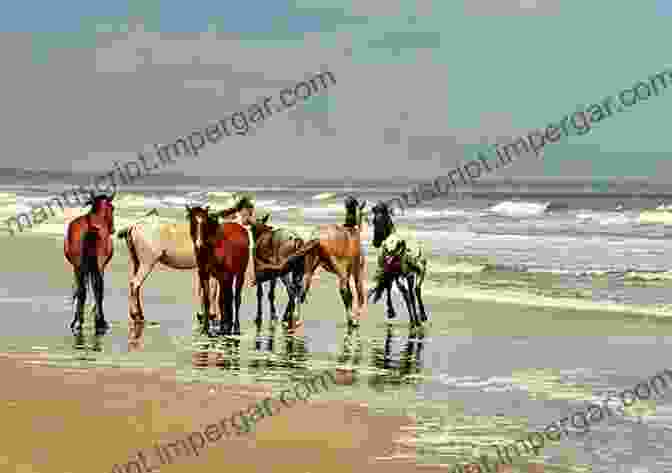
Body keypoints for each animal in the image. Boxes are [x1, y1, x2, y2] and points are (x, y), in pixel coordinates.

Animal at [63, 193, 116, 336]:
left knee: (82, 289)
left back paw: (78, 322)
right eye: (112, 208)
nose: (113, 229)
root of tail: (90, 226)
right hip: (95, 265)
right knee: (96, 288)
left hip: (79, 266)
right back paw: (99, 322)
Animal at [284, 194, 368, 326]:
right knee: (344, 291)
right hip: (340, 270)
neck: (352, 231)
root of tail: (317, 237)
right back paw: (352, 319)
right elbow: (359, 295)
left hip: (310, 269)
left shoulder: (348, 272)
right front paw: (355, 319)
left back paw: (295, 318)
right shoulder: (356, 271)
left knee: (301, 290)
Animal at [368, 200, 426, 328]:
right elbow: (411, 293)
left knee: (406, 292)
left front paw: (390, 311)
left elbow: (388, 287)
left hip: (400, 274)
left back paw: (414, 320)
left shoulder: (393, 273)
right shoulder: (408, 275)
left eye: (374, 221)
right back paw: (421, 317)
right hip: (418, 270)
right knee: (415, 289)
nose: (375, 242)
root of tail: (402, 245)